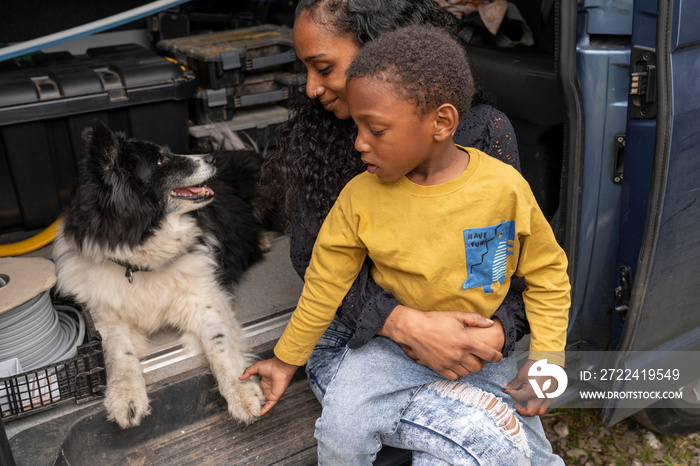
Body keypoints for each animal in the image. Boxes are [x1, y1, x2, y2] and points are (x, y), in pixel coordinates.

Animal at [53, 121, 266, 430]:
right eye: (161, 161)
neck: (139, 263)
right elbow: (119, 354)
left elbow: (220, 344)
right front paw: (125, 397)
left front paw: (242, 391)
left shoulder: (204, 300)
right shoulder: (106, 319)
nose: (210, 158)